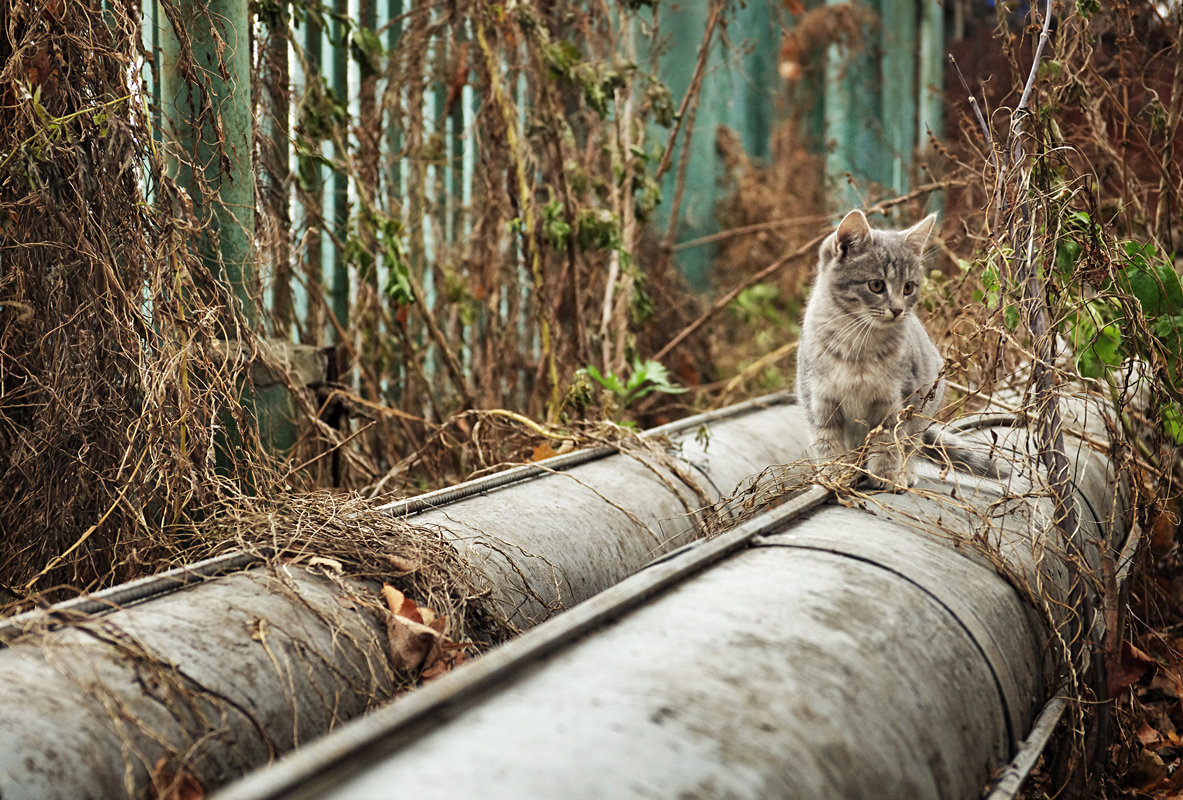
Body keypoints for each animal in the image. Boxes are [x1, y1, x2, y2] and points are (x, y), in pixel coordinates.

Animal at [794, 209, 998, 487]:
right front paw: (834, 473)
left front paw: (887, 473)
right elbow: (826, 441)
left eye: (908, 287)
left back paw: (906, 472)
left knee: (912, 444)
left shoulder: (896, 398)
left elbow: (889, 440)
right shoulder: (819, 400)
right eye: (876, 285)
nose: (898, 309)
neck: (858, 341)